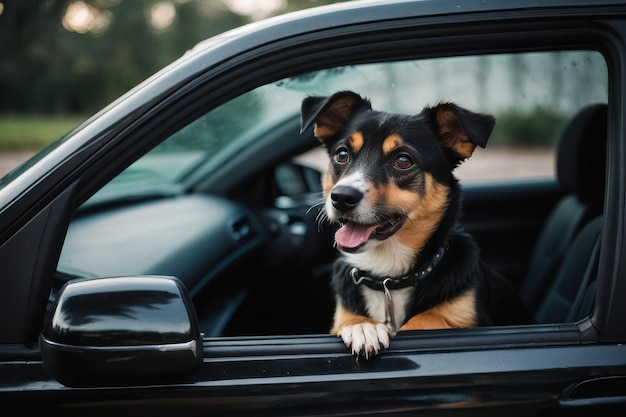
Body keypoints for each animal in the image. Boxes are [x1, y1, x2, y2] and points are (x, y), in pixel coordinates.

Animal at [298, 89, 532, 356]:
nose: (342, 198)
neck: (389, 278)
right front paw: (363, 326)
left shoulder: (471, 317)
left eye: (403, 160)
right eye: (342, 154)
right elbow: (349, 320)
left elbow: (428, 318)